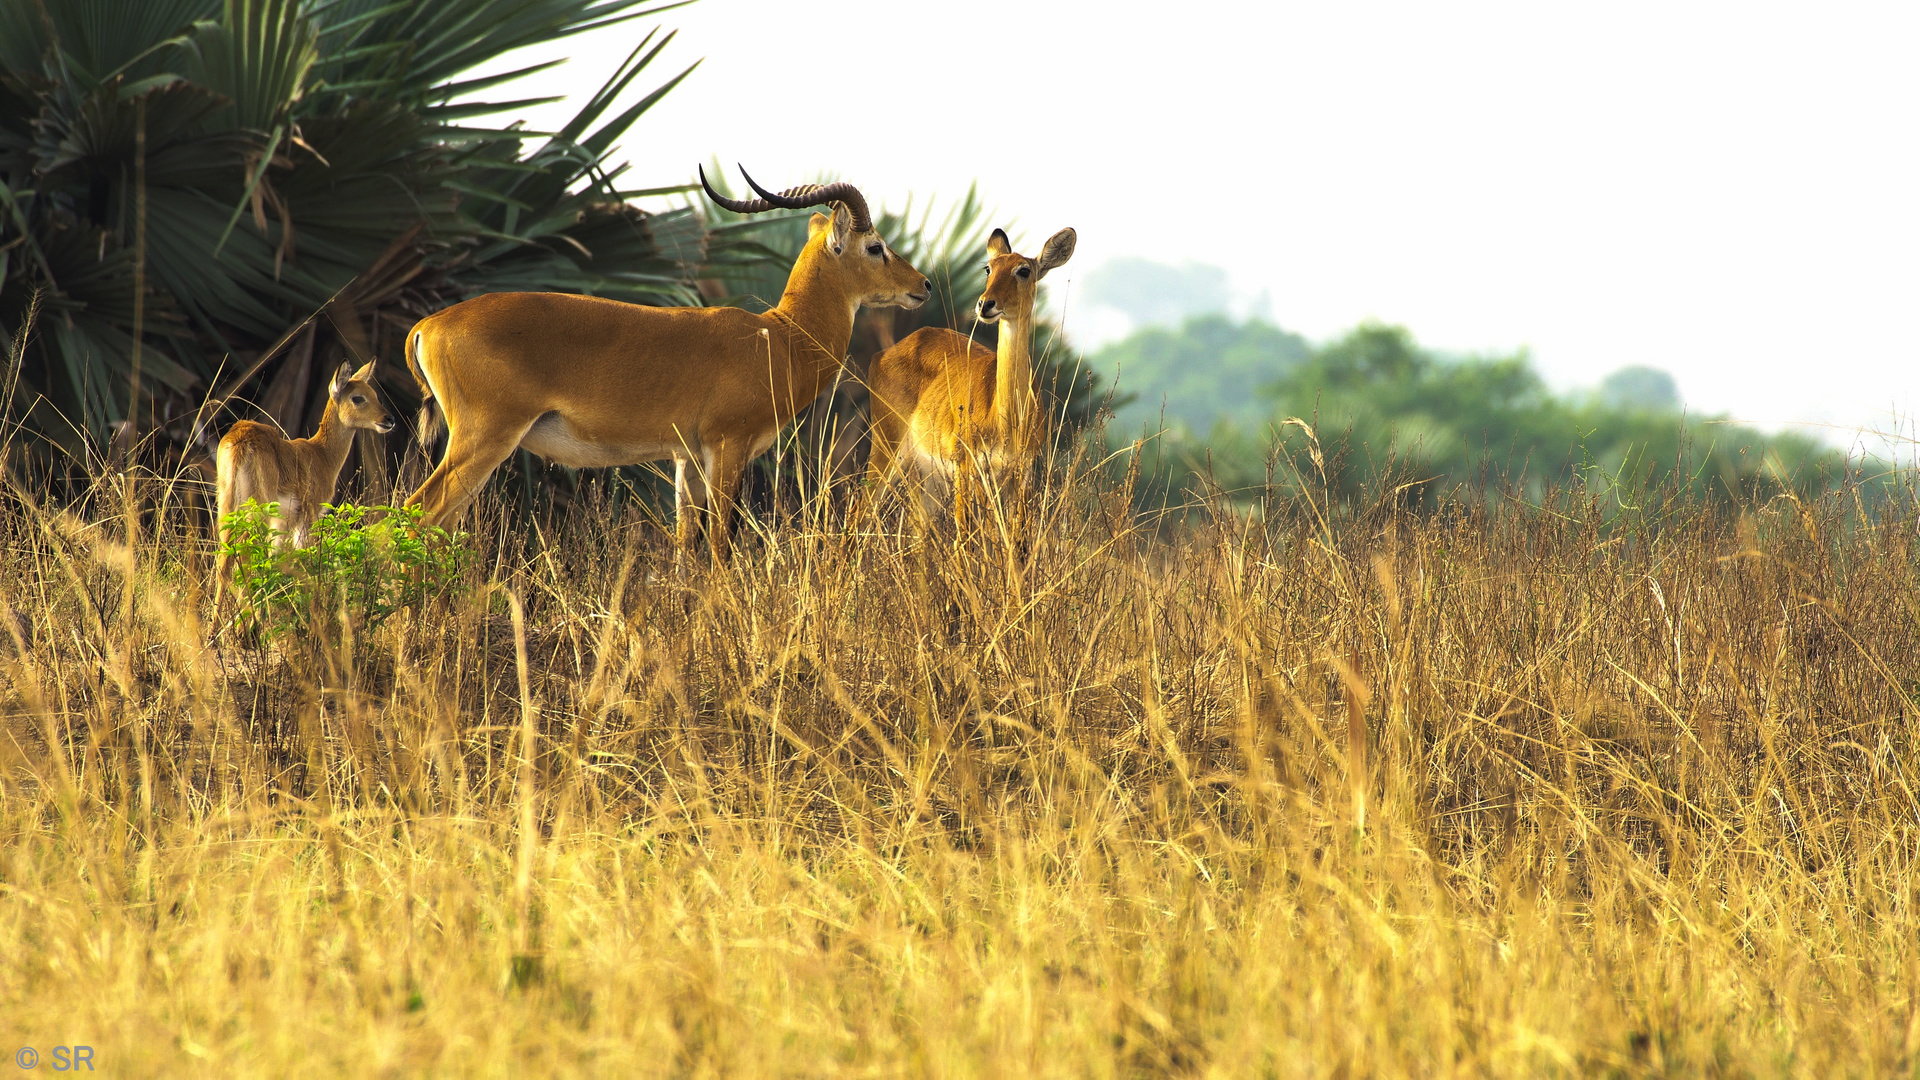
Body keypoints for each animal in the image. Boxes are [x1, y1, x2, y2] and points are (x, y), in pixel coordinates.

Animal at [214, 359, 393, 595]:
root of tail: (239, 440)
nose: (388, 419)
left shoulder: (283, 521)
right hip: (257, 509)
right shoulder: (309, 514)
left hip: (226, 504)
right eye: (357, 397)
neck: (322, 455)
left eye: (374, 394)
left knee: (224, 558)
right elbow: (303, 559)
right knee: (242, 553)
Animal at [405, 169, 929, 557]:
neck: (779, 338)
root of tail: (429, 324)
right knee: (417, 516)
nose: (922, 284)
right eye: (875, 246)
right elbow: (718, 545)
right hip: (485, 438)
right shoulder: (727, 448)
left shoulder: (685, 459)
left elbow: (684, 548)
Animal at [867, 226, 1075, 530]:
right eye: (989, 268)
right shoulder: (969, 467)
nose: (985, 304)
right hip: (887, 450)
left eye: (1024, 270)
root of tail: (882, 354)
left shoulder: (1021, 474)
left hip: (927, 476)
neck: (1006, 418)